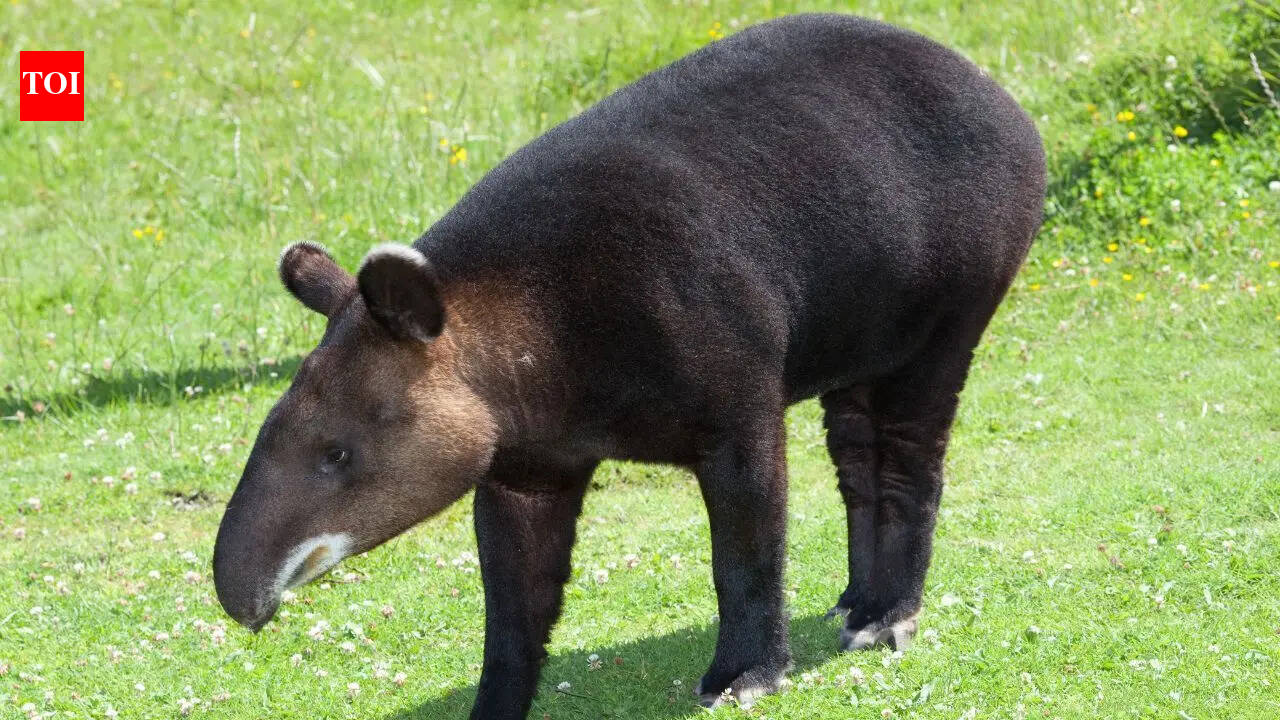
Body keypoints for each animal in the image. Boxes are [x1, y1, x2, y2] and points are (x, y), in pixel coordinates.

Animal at [213, 13, 1045, 719]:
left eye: (338, 455)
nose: (237, 594)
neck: (528, 326)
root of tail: (999, 93)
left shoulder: (735, 395)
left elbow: (747, 541)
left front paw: (744, 676)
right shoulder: (525, 457)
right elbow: (514, 598)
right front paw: (494, 704)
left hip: (954, 296)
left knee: (906, 445)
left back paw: (884, 619)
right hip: (859, 324)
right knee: (856, 446)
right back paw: (853, 603)